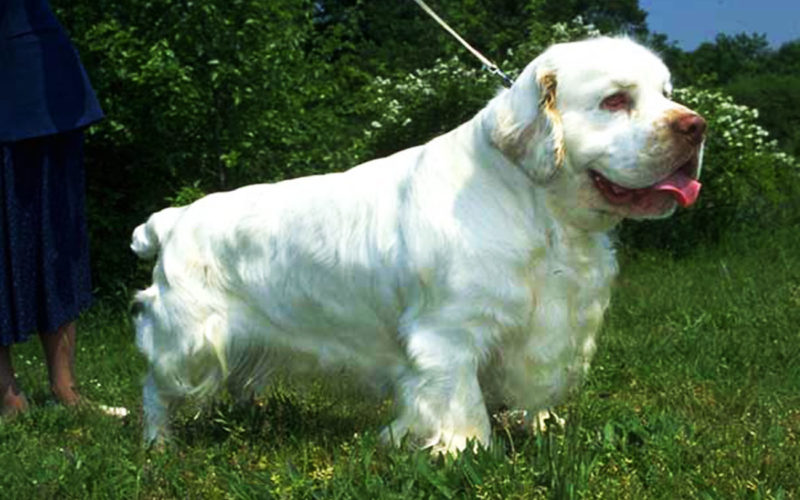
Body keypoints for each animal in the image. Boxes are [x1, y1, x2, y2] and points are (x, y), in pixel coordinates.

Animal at [133, 38, 708, 454]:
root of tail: (174, 218)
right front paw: (463, 452)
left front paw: (542, 425)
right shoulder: (449, 334)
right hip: (187, 340)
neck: (535, 208)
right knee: (155, 388)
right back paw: (159, 445)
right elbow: (461, 403)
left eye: (666, 93)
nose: (697, 127)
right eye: (616, 100)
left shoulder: (546, 324)